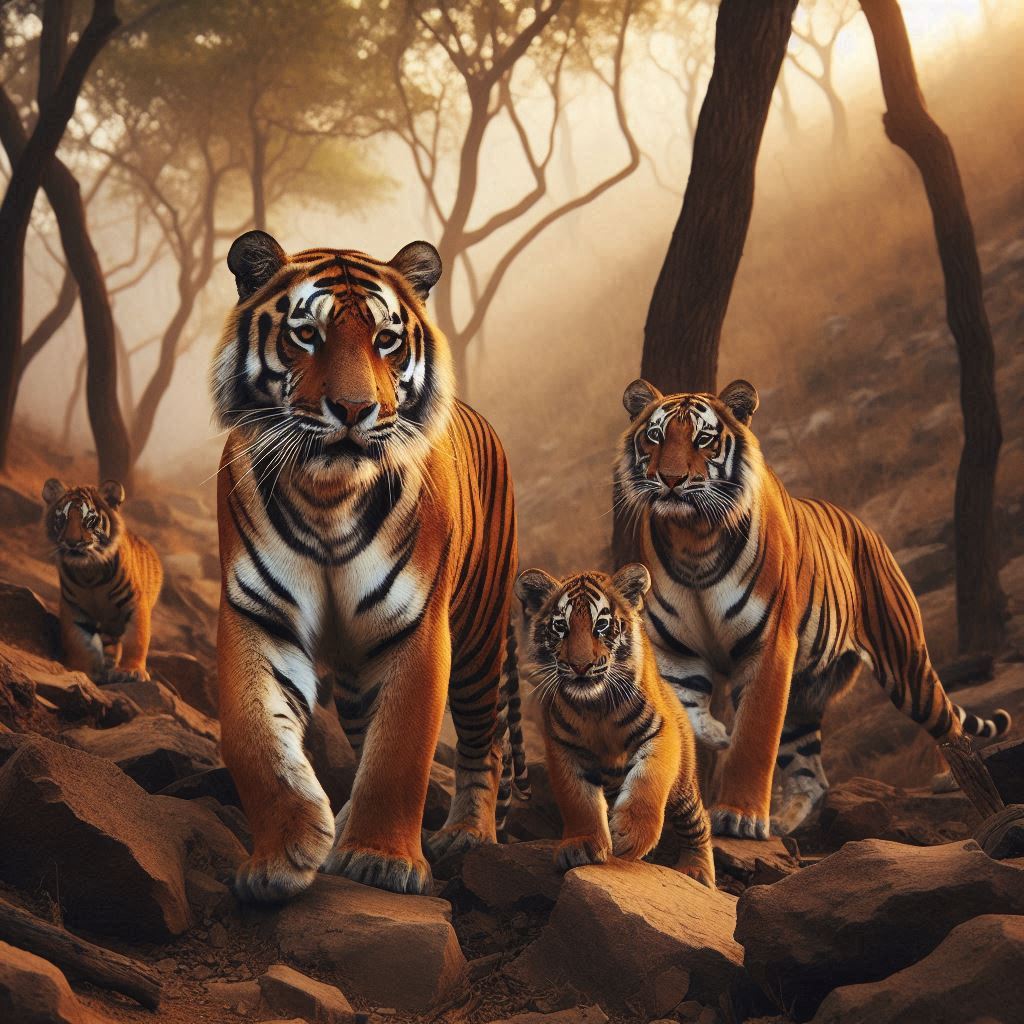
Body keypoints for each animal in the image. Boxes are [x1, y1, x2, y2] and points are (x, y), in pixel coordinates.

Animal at [41, 478, 163, 684]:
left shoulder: (134, 602)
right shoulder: (74, 609)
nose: (72, 542)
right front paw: (82, 671)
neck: (89, 573)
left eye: (89, 520)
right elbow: (79, 643)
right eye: (62, 518)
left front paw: (130, 671)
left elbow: (136, 638)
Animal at [210, 229, 526, 901]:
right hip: (358, 675)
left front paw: (383, 860)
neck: (328, 497)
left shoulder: (417, 626)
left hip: (480, 641)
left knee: (483, 741)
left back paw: (468, 834)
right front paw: (281, 856)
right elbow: (254, 737)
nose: (354, 410)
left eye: (386, 339)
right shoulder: (256, 614)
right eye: (307, 334)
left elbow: (400, 747)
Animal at [516, 563, 714, 887]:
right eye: (560, 626)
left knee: (697, 821)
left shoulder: (661, 733)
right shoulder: (563, 748)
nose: (580, 665)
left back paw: (698, 870)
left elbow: (649, 779)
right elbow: (578, 800)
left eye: (601, 624)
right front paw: (581, 845)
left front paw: (631, 836)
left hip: (683, 787)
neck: (596, 706)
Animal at [615, 377, 1011, 839]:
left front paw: (738, 815)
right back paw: (784, 823)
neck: (693, 539)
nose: (671, 479)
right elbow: (685, 713)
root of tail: (865, 527)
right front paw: (715, 733)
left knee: (947, 722)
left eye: (704, 439)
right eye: (655, 436)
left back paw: (953, 778)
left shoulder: (769, 647)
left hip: (906, 667)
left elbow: (754, 737)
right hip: (804, 694)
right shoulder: (676, 654)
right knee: (812, 775)